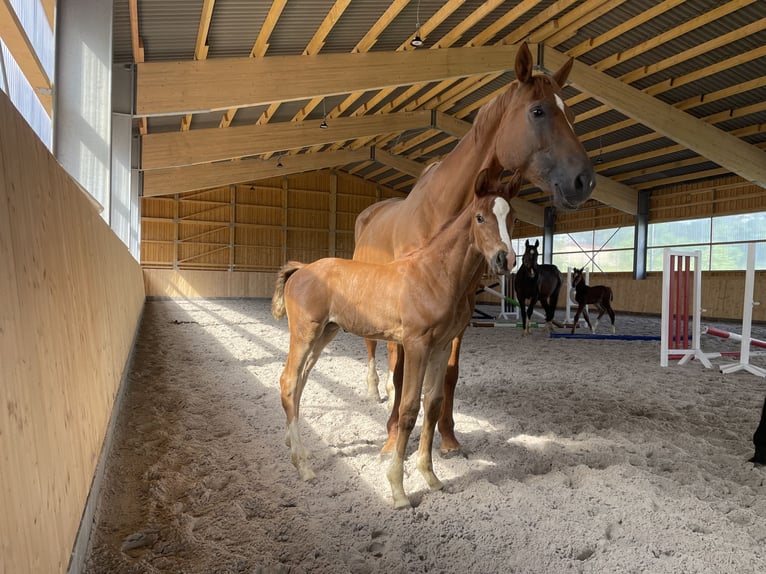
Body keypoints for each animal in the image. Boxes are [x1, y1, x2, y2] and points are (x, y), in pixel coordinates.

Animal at [272, 170, 520, 508]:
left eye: (512, 217)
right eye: (480, 217)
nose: (504, 259)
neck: (435, 274)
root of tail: (301, 269)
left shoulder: (441, 347)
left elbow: (433, 404)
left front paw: (431, 477)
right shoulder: (416, 344)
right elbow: (408, 409)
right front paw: (398, 489)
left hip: (326, 333)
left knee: (300, 381)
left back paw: (298, 448)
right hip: (304, 333)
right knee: (287, 381)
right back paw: (303, 466)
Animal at [354, 42, 600, 456]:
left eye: (571, 113)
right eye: (538, 111)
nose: (584, 181)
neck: (440, 211)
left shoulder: (460, 312)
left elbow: (449, 375)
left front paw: (448, 436)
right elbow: (403, 372)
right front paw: (391, 437)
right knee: (377, 348)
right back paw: (375, 391)